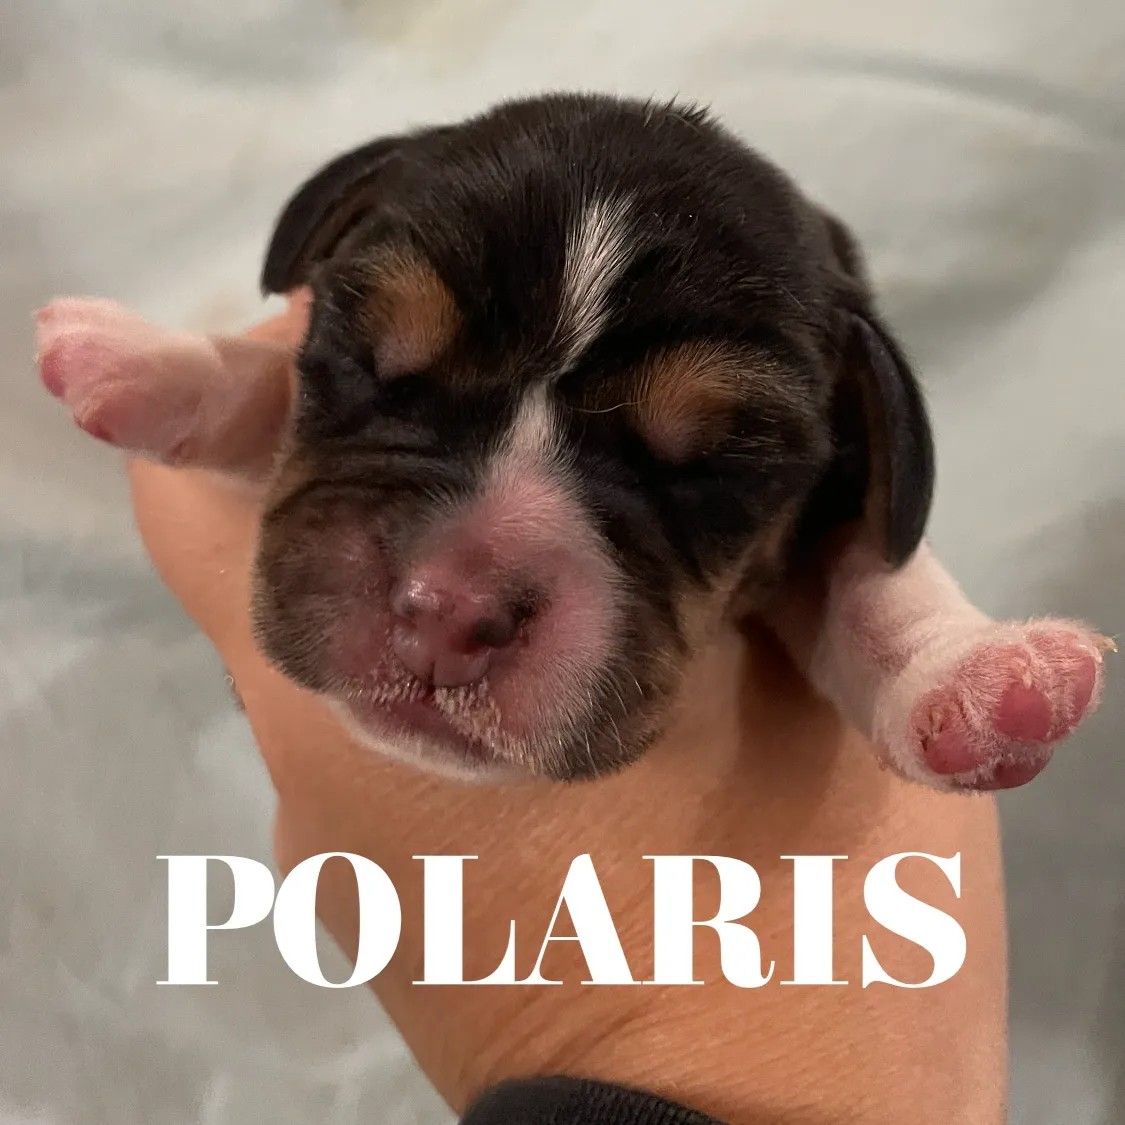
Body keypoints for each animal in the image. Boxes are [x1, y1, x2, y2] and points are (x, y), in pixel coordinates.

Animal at [34, 92, 1110, 789]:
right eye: (373, 361)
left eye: (714, 470)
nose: (447, 610)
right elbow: (265, 384)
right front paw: (149, 358)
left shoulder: (827, 519)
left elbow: (873, 576)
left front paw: (981, 682)